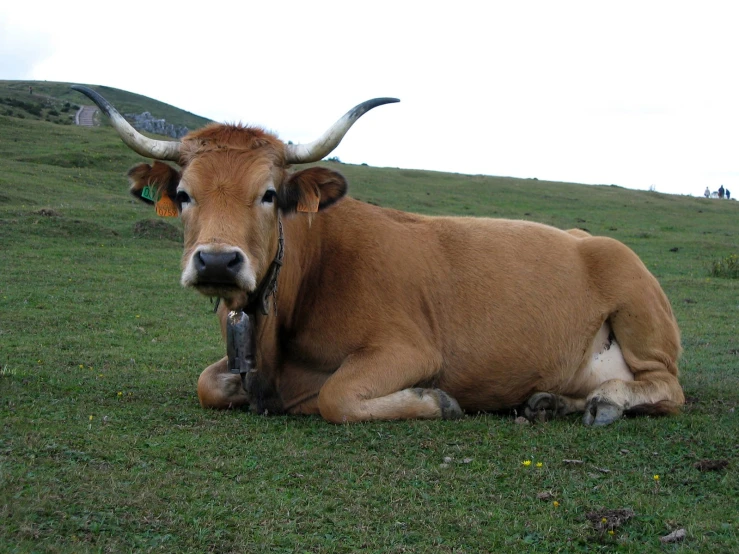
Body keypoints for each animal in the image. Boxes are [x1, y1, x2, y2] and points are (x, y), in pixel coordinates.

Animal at [72, 85, 684, 422]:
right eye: (184, 194)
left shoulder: (410, 349)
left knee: (665, 388)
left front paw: (437, 403)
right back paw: (553, 402)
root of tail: (586, 237)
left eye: (268, 194)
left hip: (639, 310)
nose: (218, 261)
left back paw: (605, 402)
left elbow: (337, 395)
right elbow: (206, 383)